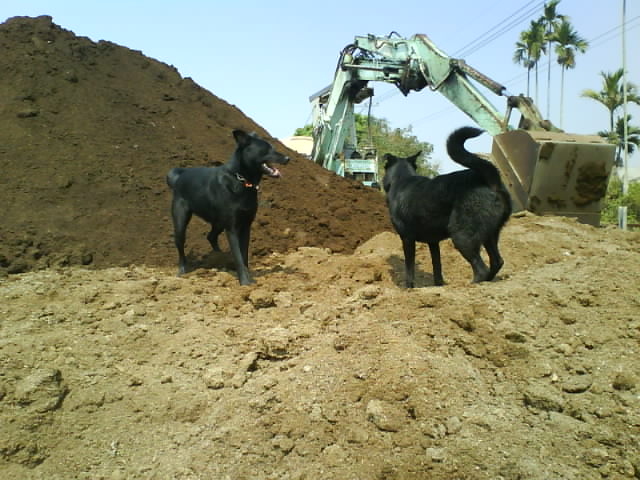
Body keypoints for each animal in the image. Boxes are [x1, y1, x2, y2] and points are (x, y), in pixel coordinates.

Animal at [166, 128, 288, 284]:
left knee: (211, 237)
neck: (242, 180)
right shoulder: (232, 228)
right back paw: (182, 270)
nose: (288, 158)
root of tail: (179, 177)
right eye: (266, 149)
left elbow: (244, 255)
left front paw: (249, 278)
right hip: (181, 222)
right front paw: (245, 282)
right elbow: (238, 256)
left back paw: (219, 257)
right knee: (181, 245)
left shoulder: (246, 226)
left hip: (218, 222)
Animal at [382, 125, 512, 286]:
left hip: (462, 236)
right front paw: (439, 284)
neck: (401, 178)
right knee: (497, 261)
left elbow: (409, 267)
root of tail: (488, 179)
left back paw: (472, 283)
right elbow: (437, 266)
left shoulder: (407, 238)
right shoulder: (433, 241)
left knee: (481, 269)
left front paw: (408, 287)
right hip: (490, 235)